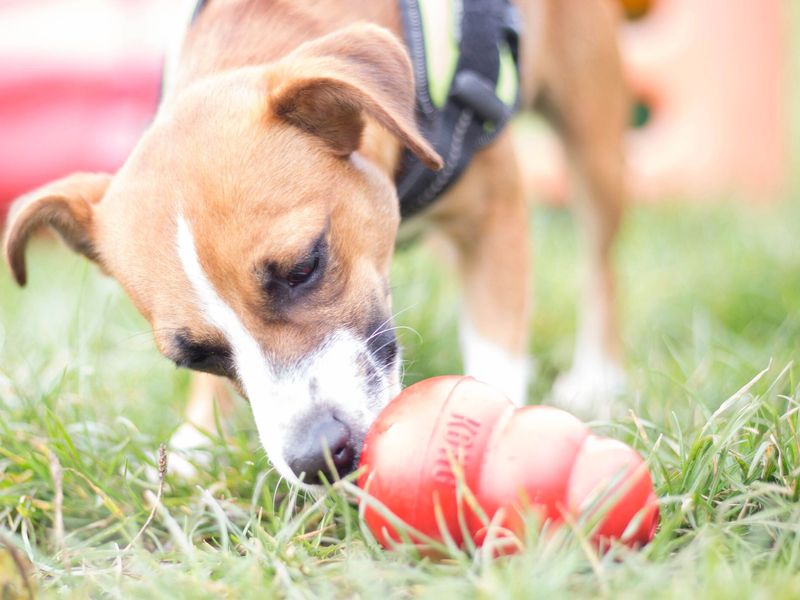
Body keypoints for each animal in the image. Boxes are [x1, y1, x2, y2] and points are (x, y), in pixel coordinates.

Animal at [3, 0, 628, 488]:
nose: (317, 459)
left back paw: (598, 375)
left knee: (599, 259)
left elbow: (495, 342)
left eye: (304, 266)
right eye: (194, 356)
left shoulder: (494, 213)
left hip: (591, 129)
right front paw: (196, 442)